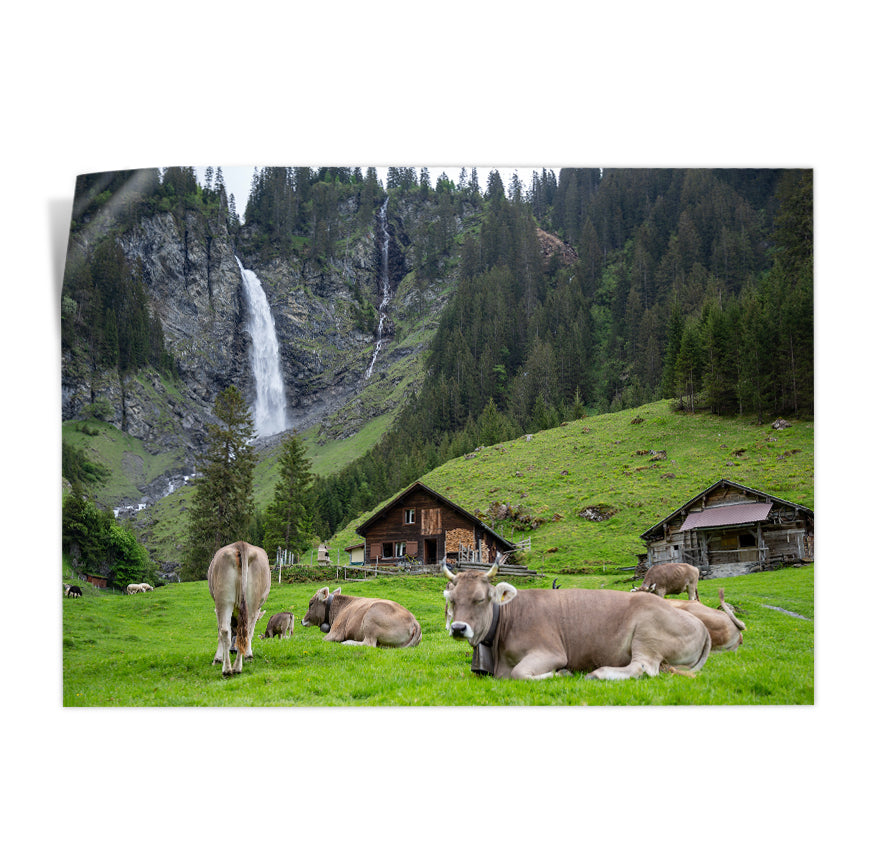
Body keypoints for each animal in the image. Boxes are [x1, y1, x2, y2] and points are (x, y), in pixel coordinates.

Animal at [207, 541, 271, 676]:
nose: (232, 650)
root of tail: (241, 544)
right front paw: (248, 655)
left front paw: (218, 659)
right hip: (249, 602)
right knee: (244, 631)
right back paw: (235, 667)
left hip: (223, 600)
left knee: (225, 630)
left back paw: (229, 669)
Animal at [442, 558, 710, 680]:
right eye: (452, 600)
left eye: (481, 599)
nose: (458, 628)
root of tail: (701, 625)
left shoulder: (550, 652)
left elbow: (520, 673)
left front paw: (562, 673)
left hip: (647, 634)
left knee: (643, 667)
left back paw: (597, 673)